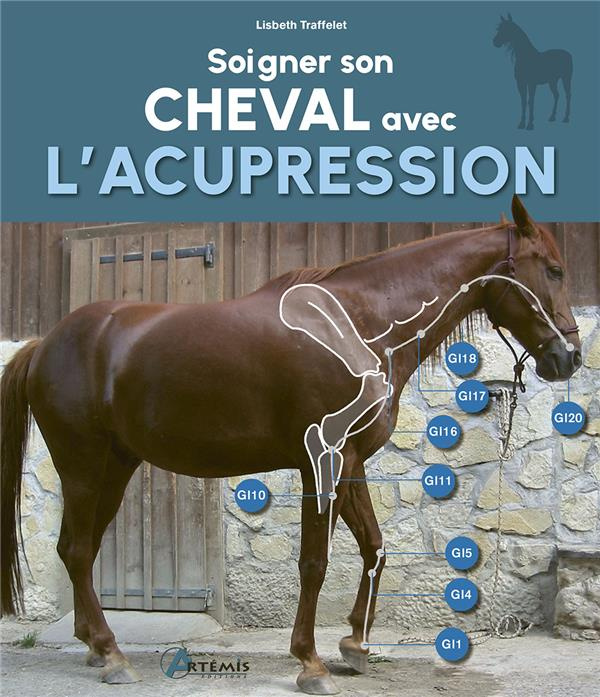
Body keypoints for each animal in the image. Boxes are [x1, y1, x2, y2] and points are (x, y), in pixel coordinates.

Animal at [1, 195, 582, 695]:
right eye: (553, 270)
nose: (569, 358)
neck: (356, 327)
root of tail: (44, 344)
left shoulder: (352, 462)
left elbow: (375, 546)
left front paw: (355, 646)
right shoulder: (320, 462)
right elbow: (314, 563)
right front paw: (311, 662)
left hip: (114, 468)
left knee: (77, 548)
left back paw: (95, 648)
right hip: (83, 467)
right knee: (78, 551)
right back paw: (112, 654)